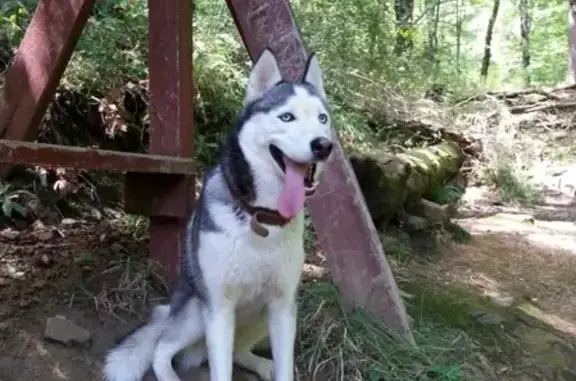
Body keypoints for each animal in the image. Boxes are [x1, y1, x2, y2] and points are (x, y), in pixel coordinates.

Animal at [104, 47, 332, 380]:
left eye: (322, 118)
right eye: (286, 116)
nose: (323, 145)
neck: (260, 218)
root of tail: (170, 309)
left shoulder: (282, 307)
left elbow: (284, 368)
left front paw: (277, 369)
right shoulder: (219, 309)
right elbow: (219, 369)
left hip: (263, 316)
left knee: (239, 350)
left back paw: (263, 365)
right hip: (196, 314)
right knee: (161, 349)